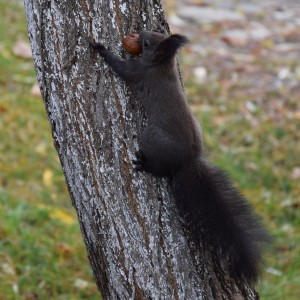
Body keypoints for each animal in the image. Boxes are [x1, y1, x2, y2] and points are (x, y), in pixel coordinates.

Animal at [89, 31, 270, 286]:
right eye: (151, 33)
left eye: (147, 43)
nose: (139, 33)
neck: (162, 65)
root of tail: (189, 160)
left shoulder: (137, 72)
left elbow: (120, 67)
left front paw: (100, 48)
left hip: (151, 136)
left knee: (162, 170)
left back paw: (146, 165)